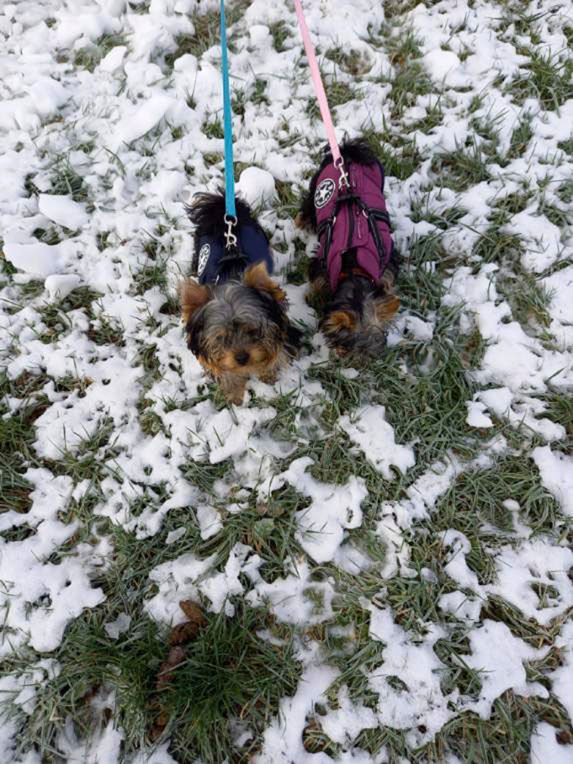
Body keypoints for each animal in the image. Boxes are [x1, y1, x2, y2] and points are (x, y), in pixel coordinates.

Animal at [181, 194, 302, 402]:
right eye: (221, 337)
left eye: (253, 330)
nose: (242, 358)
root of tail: (219, 205)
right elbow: (227, 373)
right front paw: (234, 396)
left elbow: (276, 353)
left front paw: (268, 376)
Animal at [298, 141, 400, 358]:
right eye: (344, 346)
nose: (343, 358)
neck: (354, 271)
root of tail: (349, 151)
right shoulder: (320, 264)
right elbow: (315, 281)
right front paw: (313, 295)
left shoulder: (387, 261)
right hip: (316, 185)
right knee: (308, 205)